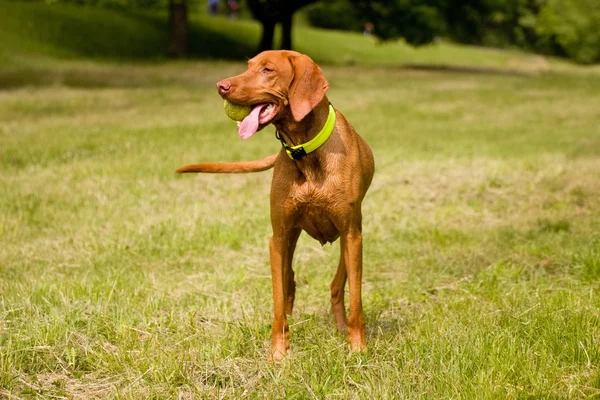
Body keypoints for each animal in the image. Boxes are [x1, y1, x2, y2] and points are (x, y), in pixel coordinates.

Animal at [178, 49, 372, 360]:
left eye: (267, 70)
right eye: (248, 67)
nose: (221, 85)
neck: (305, 150)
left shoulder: (352, 233)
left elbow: (356, 299)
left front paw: (357, 348)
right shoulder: (278, 237)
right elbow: (278, 300)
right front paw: (279, 353)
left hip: (351, 235)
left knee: (336, 285)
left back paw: (341, 326)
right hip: (293, 236)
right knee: (290, 279)